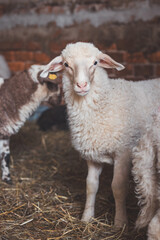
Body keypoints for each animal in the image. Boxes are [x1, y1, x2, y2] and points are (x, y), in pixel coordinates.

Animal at [40, 42, 160, 228]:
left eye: (95, 63)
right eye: (66, 64)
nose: (81, 85)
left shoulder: (123, 151)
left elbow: (118, 187)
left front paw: (120, 223)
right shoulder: (92, 155)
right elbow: (91, 186)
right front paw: (86, 218)